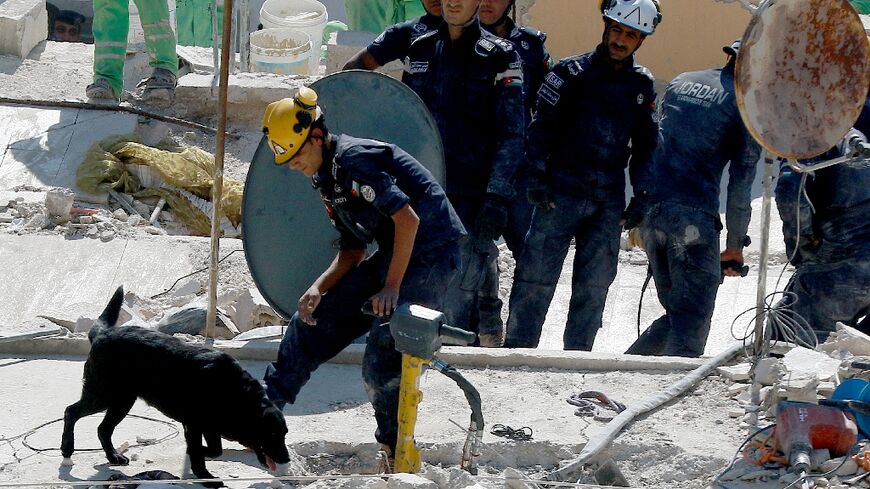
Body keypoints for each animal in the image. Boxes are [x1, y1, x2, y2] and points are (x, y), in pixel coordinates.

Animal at [63, 284, 292, 486]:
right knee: (71, 411)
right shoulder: (195, 425)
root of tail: (102, 335)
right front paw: (205, 477)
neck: (235, 393)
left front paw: (201, 457)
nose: (287, 459)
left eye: (284, 434)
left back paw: (113, 457)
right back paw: (67, 448)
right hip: (103, 395)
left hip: (122, 401)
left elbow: (215, 449)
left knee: (103, 428)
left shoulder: (210, 426)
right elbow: (200, 454)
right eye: (272, 434)